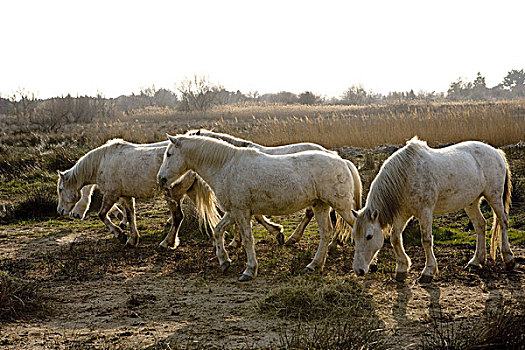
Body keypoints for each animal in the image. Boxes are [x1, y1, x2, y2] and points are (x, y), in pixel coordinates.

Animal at [56, 138, 220, 247]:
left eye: (60, 189)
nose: (60, 211)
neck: (102, 161)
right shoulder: (126, 196)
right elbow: (130, 216)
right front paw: (132, 239)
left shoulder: (111, 194)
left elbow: (102, 215)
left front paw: (120, 234)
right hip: (191, 192)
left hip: (172, 196)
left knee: (178, 217)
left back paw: (167, 243)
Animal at [350, 138, 512, 284]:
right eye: (355, 237)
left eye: (369, 236)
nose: (359, 270)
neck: (406, 176)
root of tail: (496, 152)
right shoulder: (402, 215)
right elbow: (395, 238)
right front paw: (402, 268)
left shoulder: (425, 213)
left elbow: (426, 240)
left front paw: (428, 271)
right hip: (471, 202)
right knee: (480, 225)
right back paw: (476, 261)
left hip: (494, 196)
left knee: (503, 221)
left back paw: (508, 258)